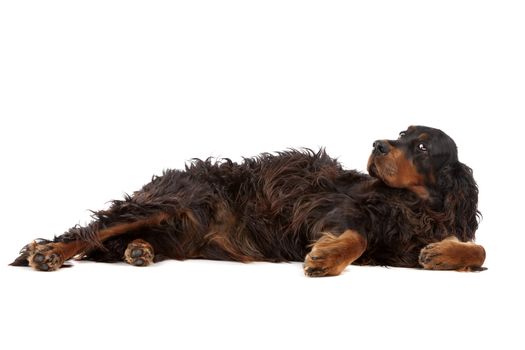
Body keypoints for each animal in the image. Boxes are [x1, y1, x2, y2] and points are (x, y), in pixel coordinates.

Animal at [10, 126, 486, 276]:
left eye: (421, 146)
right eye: (402, 133)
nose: (378, 144)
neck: (414, 206)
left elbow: (478, 249)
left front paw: (443, 253)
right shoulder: (335, 210)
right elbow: (357, 236)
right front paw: (327, 257)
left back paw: (139, 250)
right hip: (172, 200)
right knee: (92, 230)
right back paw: (48, 253)